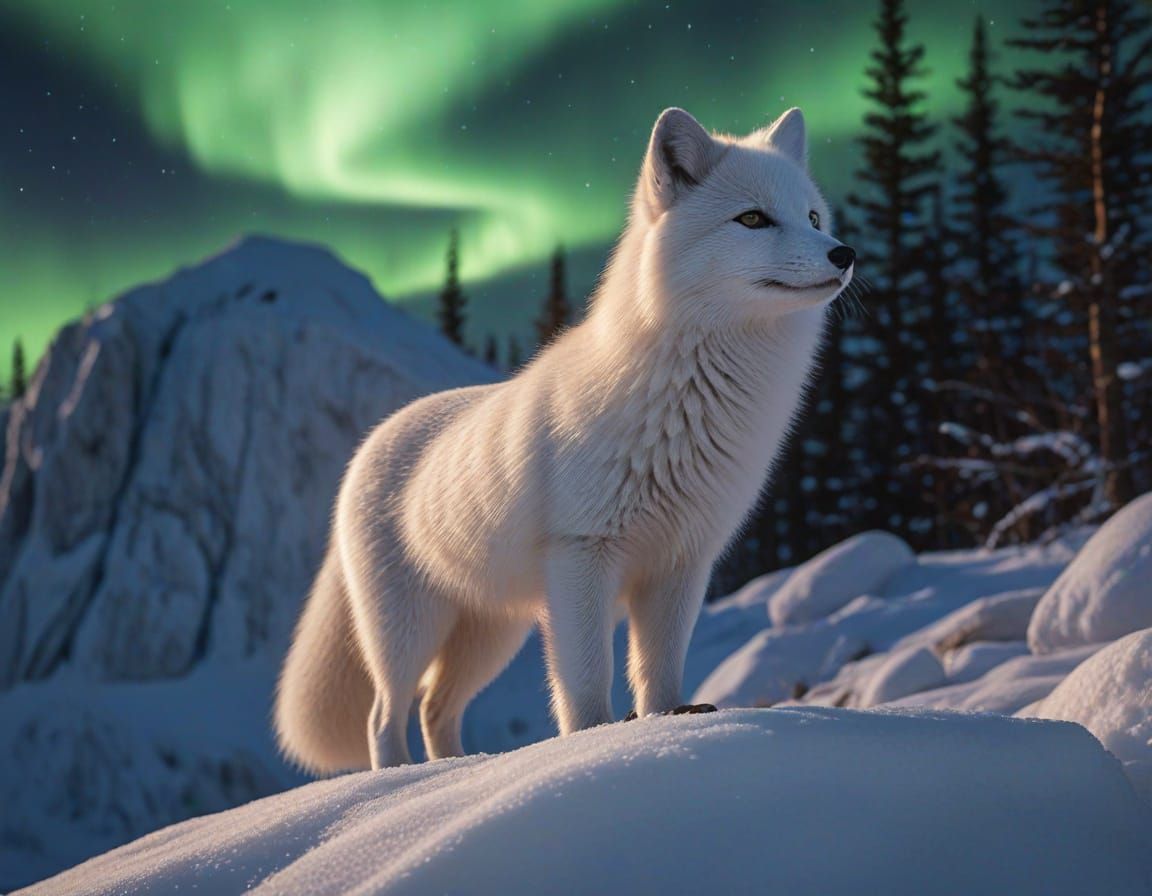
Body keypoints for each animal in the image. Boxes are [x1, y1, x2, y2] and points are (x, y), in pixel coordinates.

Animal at [275, 106, 855, 771]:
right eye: (753, 218)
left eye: (813, 218)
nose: (845, 253)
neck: (689, 404)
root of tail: (369, 443)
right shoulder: (583, 556)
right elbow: (585, 687)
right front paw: (590, 749)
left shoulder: (681, 562)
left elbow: (658, 676)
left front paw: (669, 730)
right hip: (410, 630)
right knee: (384, 714)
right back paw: (399, 777)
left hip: (491, 634)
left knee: (434, 708)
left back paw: (458, 768)